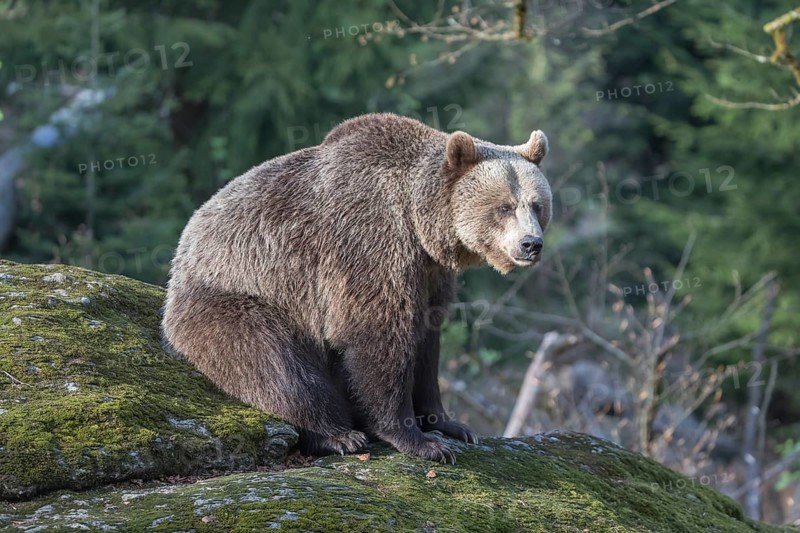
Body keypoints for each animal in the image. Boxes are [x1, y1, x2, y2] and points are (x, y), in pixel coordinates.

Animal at [162, 113, 552, 463]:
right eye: (504, 207)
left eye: (537, 205)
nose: (531, 244)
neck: (419, 223)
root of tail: (183, 247)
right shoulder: (370, 242)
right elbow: (377, 334)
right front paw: (420, 441)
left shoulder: (430, 274)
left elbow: (427, 341)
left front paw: (450, 424)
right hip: (234, 298)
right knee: (275, 363)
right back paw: (337, 435)